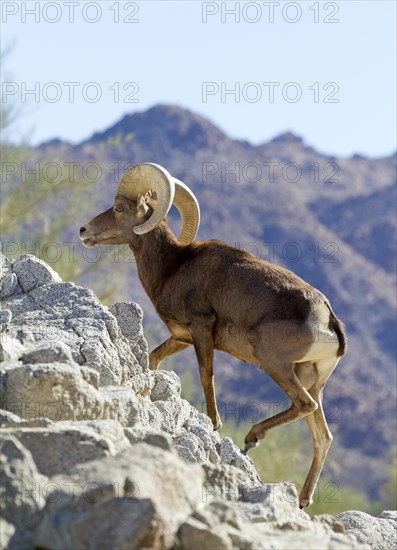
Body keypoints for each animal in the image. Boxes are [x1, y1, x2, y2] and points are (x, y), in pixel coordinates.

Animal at [79, 163, 344, 508]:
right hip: (311, 378)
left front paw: (215, 424)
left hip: (275, 364)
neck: (172, 267)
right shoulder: (181, 337)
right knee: (322, 435)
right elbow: (153, 358)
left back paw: (251, 438)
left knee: (304, 405)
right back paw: (303, 499)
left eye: (120, 208)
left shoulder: (201, 330)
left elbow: (207, 374)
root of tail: (327, 319)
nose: (84, 231)